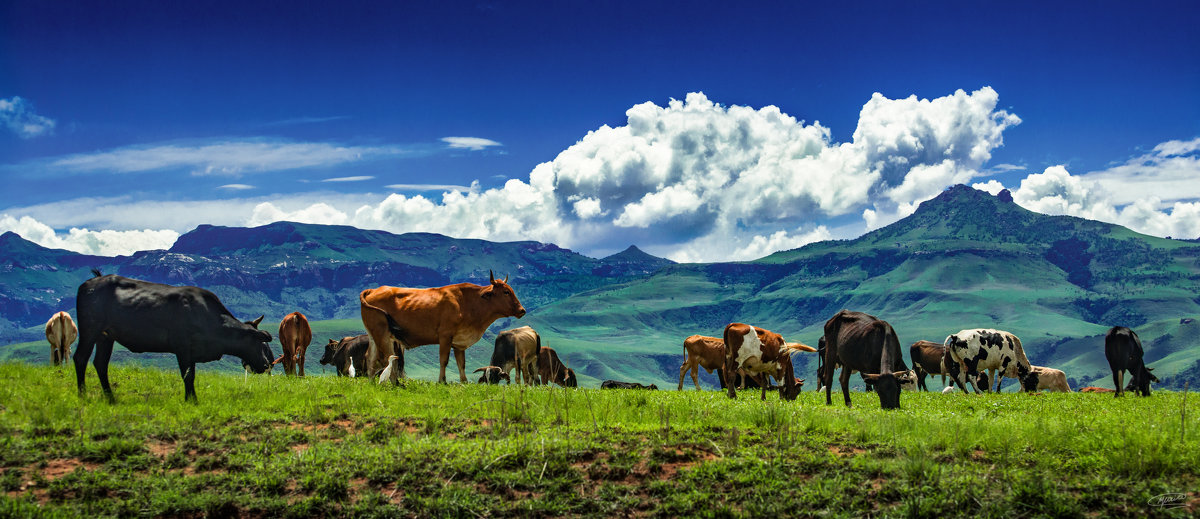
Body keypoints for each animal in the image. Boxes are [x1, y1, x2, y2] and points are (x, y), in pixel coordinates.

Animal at [73, 269, 274, 403]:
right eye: (261, 343)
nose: (267, 365)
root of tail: (91, 282)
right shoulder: (182, 347)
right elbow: (187, 376)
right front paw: (191, 401)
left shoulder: (192, 352)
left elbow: (191, 375)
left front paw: (191, 398)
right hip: (89, 330)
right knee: (80, 358)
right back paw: (82, 395)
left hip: (106, 337)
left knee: (100, 363)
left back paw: (111, 398)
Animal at [357, 271, 523, 382]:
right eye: (506, 292)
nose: (522, 310)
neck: (467, 302)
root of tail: (374, 290)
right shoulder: (445, 336)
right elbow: (444, 360)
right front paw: (442, 381)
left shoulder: (459, 343)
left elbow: (461, 364)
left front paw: (464, 382)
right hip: (382, 335)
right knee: (386, 358)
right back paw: (394, 382)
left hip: (373, 335)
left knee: (370, 357)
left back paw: (371, 383)